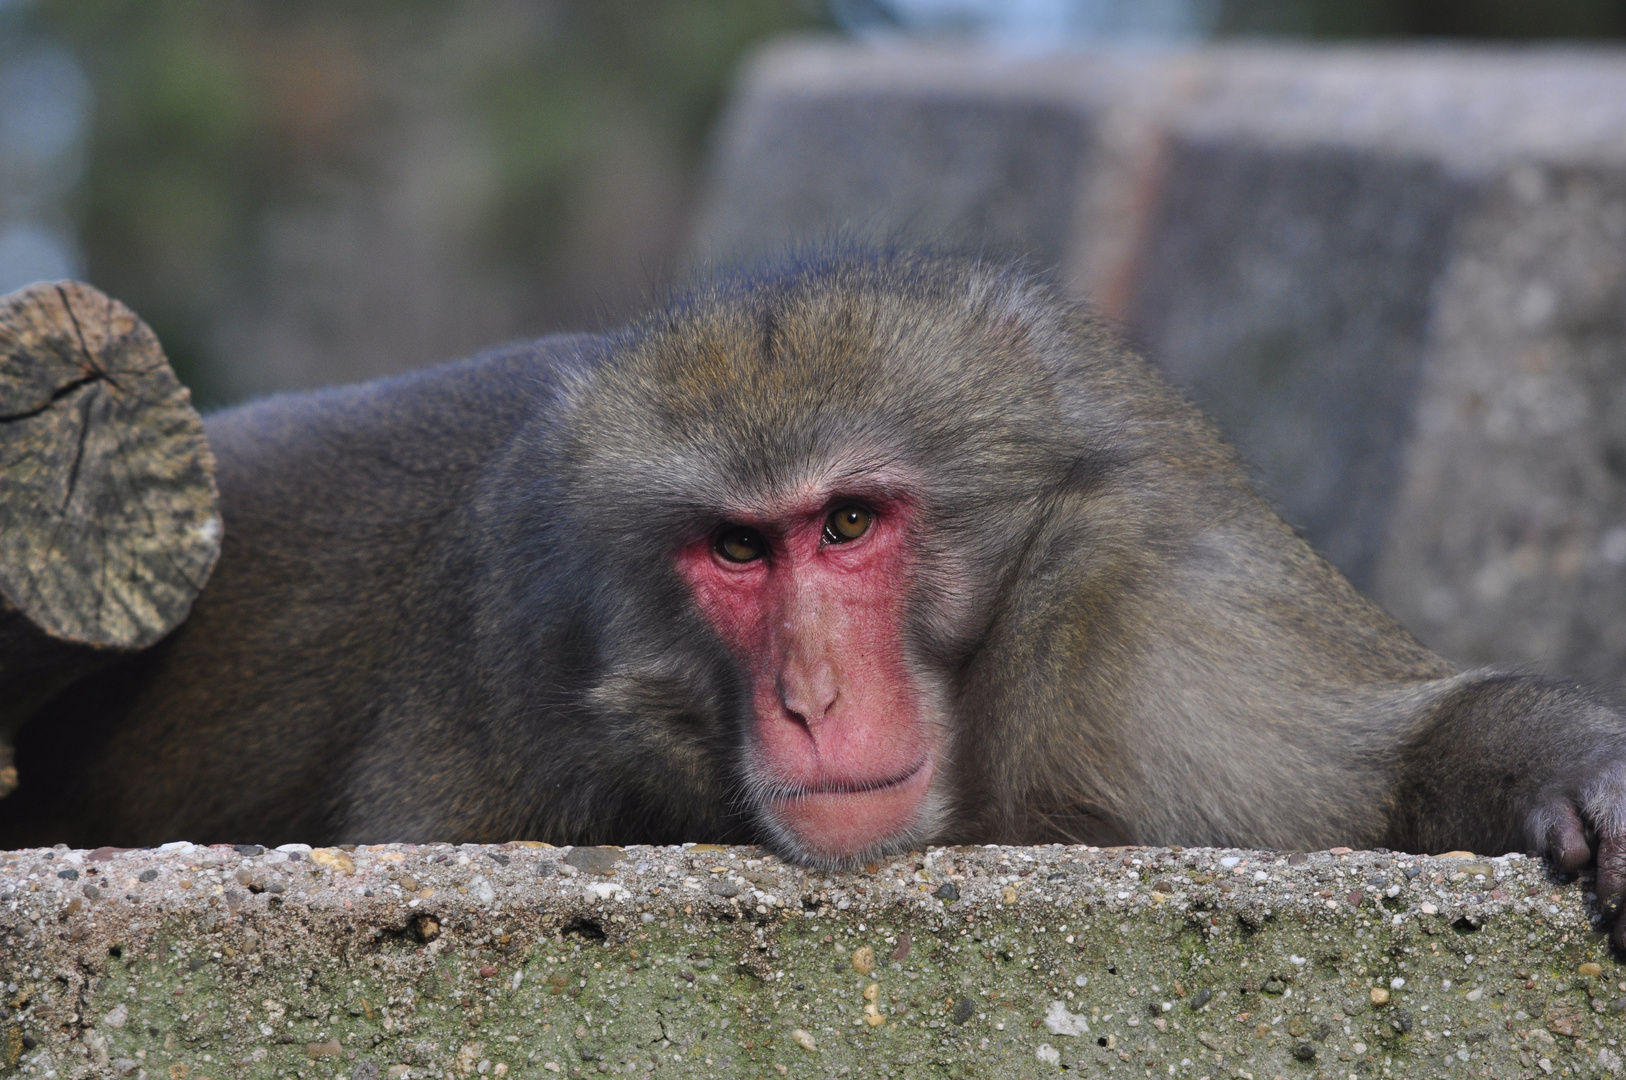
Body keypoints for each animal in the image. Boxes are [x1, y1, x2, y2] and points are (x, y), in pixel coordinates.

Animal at [3, 253, 1626, 943]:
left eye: (847, 523)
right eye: (738, 550)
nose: (811, 695)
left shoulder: (1160, 619)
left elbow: (1382, 768)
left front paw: (1576, 771)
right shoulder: (516, 664)